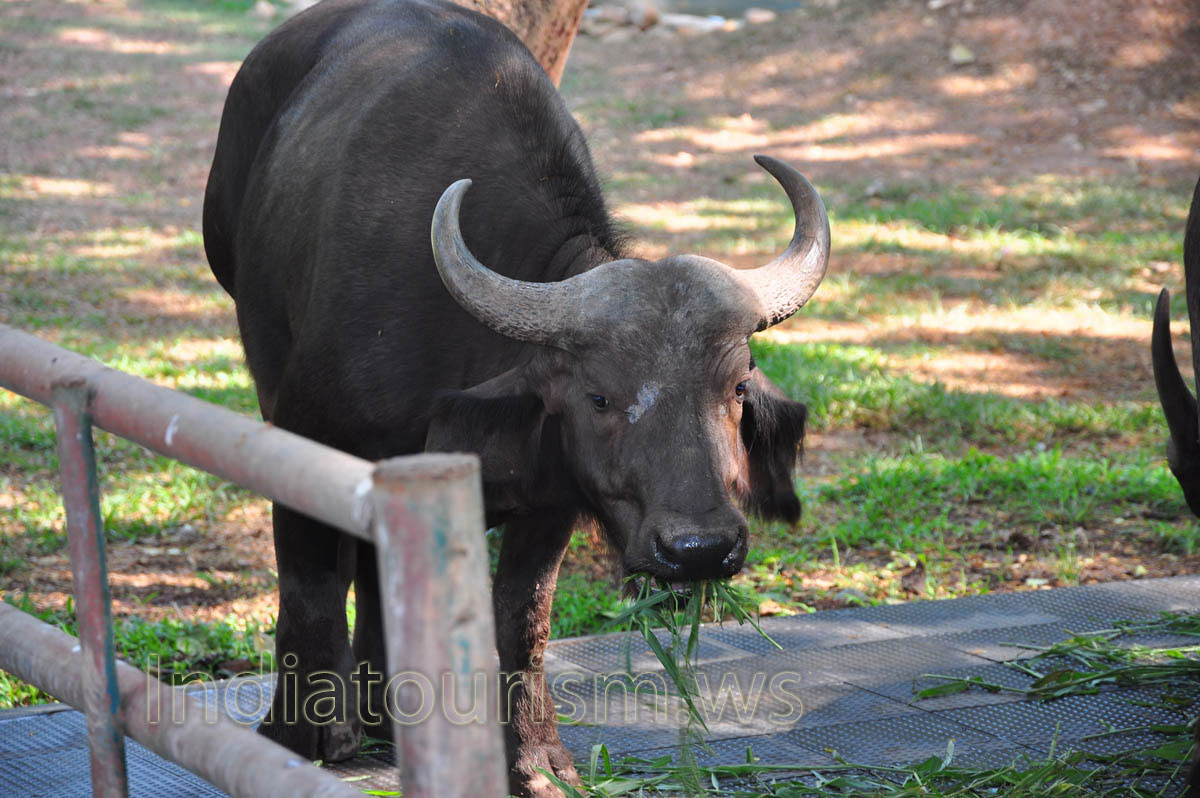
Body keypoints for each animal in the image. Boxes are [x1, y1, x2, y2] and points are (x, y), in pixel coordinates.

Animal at [203, 0, 827, 794]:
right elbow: (310, 583)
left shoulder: (550, 503)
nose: (700, 549)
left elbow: (521, 621)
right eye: (598, 396)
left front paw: (534, 759)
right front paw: (301, 735)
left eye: (737, 387)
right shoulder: (304, 432)